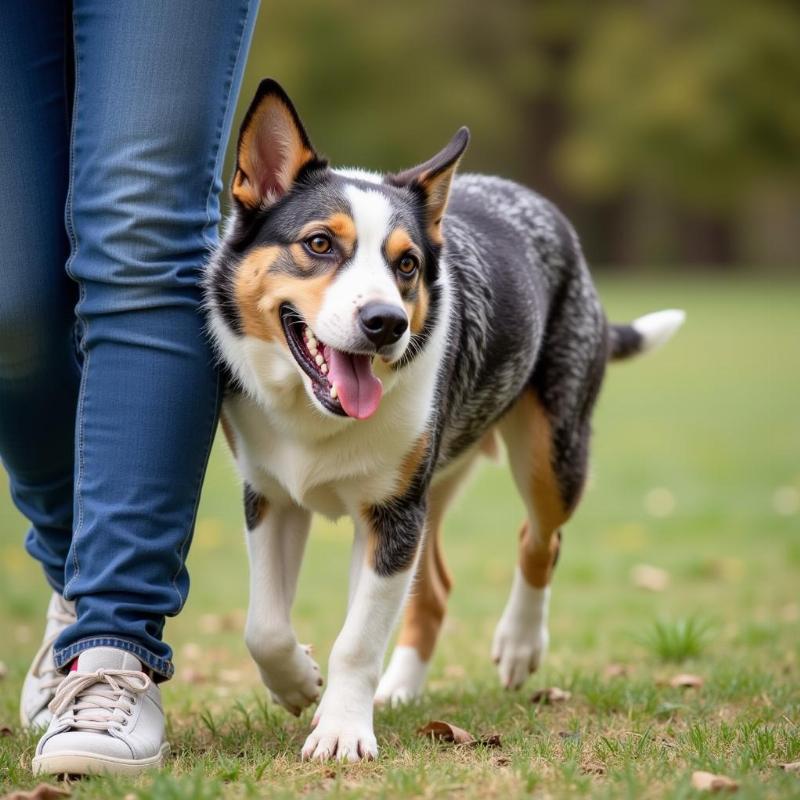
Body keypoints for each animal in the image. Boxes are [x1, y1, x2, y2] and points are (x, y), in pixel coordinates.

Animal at [203, 81, 684, 764]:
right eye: (319, 244)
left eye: (406, 264)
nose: (386, 323)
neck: (313, 416)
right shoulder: (271, 494)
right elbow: (264, 627)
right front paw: (298, 683)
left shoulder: (394, 513)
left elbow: (358, 639)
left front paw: (341, 729)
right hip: (440, 477)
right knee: (433, 588)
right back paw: (401, 689)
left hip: (551, 454)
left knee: (540, 538)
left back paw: (519, 644)